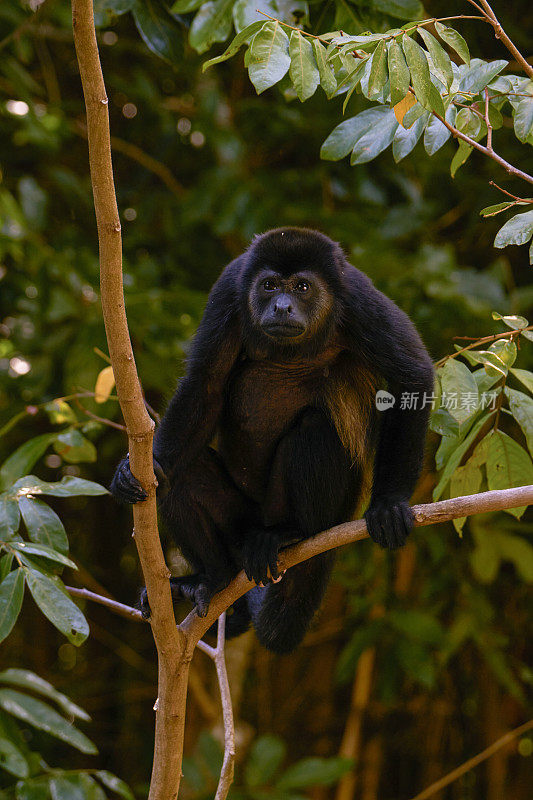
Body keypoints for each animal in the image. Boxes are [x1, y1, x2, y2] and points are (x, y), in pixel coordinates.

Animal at [110, 228, 434, 652]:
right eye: (268, 286)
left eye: (301, 287)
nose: (281, 306)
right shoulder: (229, 289)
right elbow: (206, 384)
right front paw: (144, 468)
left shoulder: (359, 298)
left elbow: (412, 377)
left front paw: (389, 504)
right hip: (240, 523)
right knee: (184, 474)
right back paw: (213, 579)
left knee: (315, 429)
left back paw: (291, 535)